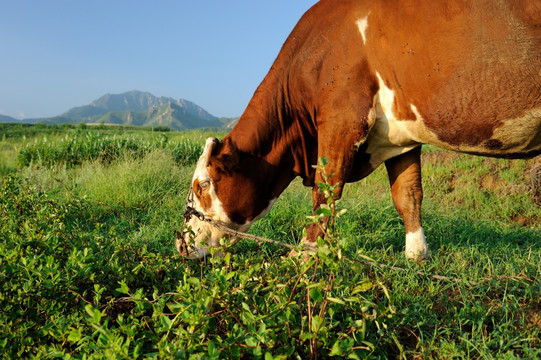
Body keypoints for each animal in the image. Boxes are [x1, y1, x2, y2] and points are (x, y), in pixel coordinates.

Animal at [178, 0, 540, 260]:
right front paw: (416, 256)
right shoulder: (402, 137)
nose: (180, 243)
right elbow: (408, 195)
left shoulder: (342, 119)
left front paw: (305, 253)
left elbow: (325, 190)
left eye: (202, 185)